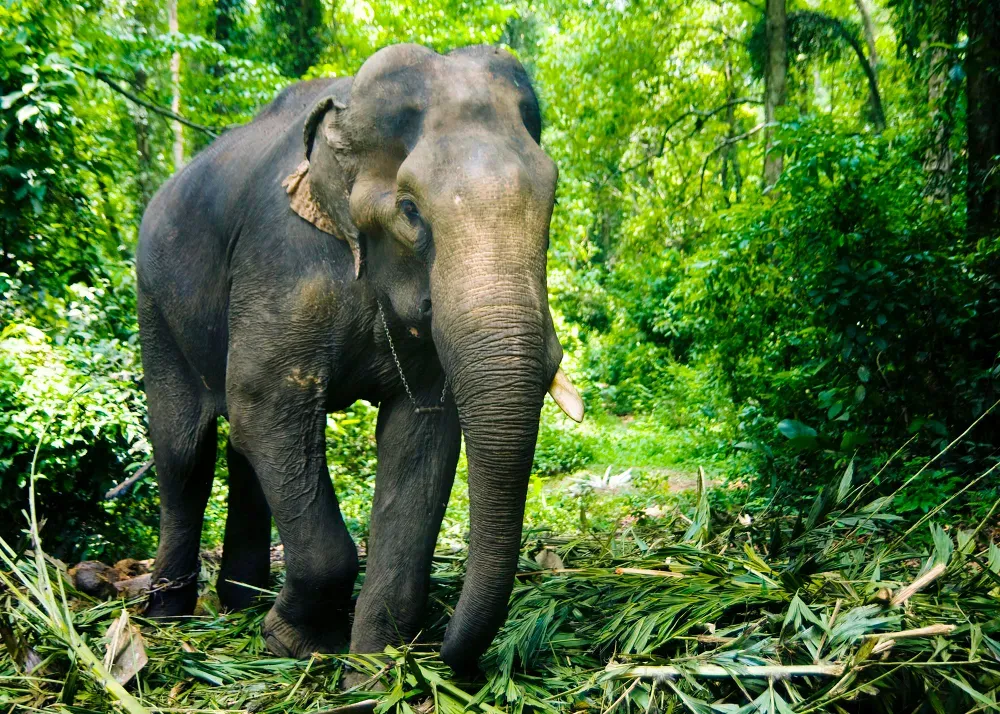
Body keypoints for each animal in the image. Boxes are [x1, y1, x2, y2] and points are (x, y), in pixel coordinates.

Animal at [135, 43, 584, 670]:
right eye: (410, 210)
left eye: (552, 202)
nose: (447, 651)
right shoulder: (284, 260)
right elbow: (266, 403)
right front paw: (295, 644)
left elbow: (420, 437)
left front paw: (374, 671)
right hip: (154, 299)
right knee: (185, 451)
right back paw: (167, 620)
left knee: (240, 448)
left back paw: (241, 602)